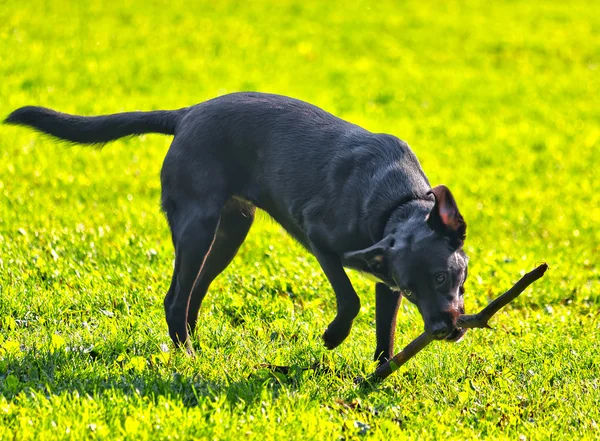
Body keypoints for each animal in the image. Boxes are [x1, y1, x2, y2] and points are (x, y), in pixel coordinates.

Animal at [3, 93, 468, 364]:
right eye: (416, 288)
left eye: (441, 278)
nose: (443, 330)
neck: (396, 200)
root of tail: (186, 115)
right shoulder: (320, 240)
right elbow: (350, 299)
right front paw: (333, 337)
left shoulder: (383, 272)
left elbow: (385, 330)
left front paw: (380, 372)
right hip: (198, 226)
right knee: (175, 298)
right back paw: (189, 358)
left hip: (229, 232)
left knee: (192, 295)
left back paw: (190, 346)